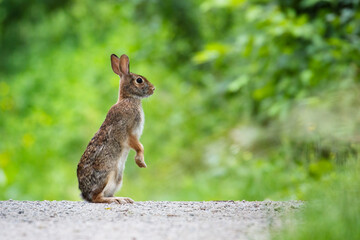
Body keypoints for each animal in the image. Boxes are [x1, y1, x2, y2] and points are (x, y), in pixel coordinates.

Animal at [76, 53, 155, 203]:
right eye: (139, 80)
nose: (153, 89)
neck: (129, 98)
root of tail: (84, 193)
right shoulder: (128, 132)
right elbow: (139, 146)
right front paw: (140, 162)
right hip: (107, 175)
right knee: (97, 198)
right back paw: (117, 200)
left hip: (118, 179)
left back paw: (124, 198)